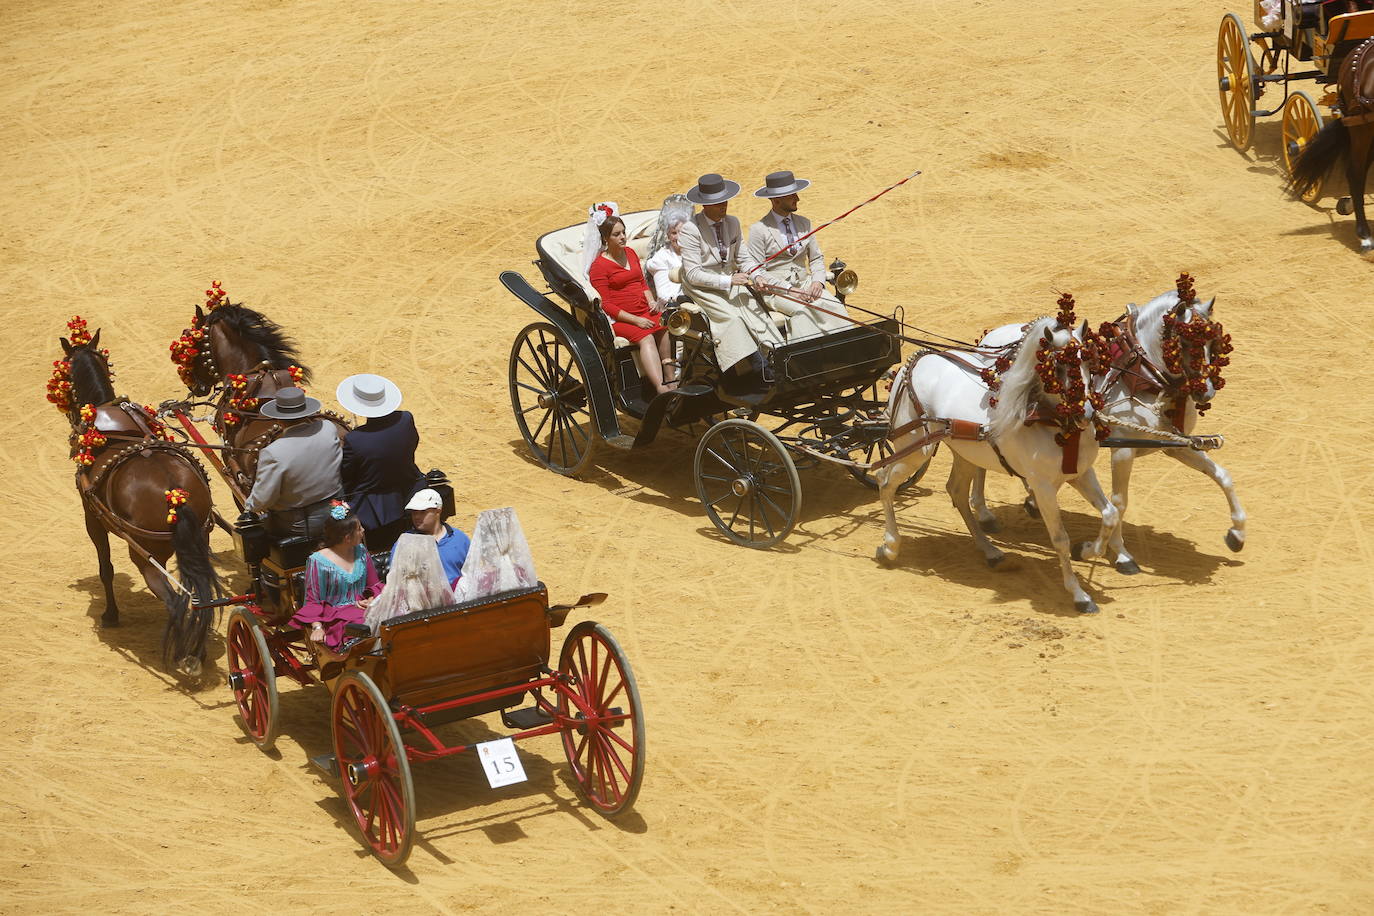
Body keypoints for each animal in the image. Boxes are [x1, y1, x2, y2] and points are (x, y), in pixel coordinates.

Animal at [49, 315, 219, 672]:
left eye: (63, 373)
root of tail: (174, 492)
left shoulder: (91, 518)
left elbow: (106, 568)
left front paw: (110, 615)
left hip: (146, 556)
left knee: (176, 600)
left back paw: (183, 654)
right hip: (198, 543)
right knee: (203, 597)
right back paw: (197, 649)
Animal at [879, 315, 1115, 615]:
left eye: (1088, 362)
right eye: (1059, 366)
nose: (1086, 412)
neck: (1049, 421)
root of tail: (916, 360)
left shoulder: (1081, 473)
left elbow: (1110, 514)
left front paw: (1086, 550)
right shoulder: (1042, 487)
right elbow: (1060, 538)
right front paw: (1079, 594)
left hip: (964, 454)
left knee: (956, 491)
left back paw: (990, 551)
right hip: (913, 452)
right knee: (884, 481)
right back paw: (890, 547)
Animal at [972, 281, 1253, 574]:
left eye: (1214, 341)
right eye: (1186, 342)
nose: (1205, 392)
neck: (1145, 376)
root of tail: (993, 338)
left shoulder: (1176, 444)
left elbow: (1222, 475)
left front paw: (1237, 534)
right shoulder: (1123, 451)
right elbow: (1119, 502)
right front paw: (1121, 554)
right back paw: (984, 513)